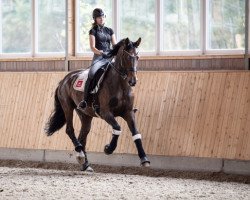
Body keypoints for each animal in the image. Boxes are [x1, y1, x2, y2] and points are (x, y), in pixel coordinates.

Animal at [44, 38, 150, 172]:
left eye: (137, 57)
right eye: (126, 57)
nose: (133, 81)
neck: (120, 85)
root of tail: (64, 80)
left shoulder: (128, 113)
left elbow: (136, 133)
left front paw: (144, 159)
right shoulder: (105, 113)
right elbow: (117, 128)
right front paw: (108, 149)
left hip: (85, 115)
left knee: (83, 136)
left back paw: (85, 163)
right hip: (67, 107)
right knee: (70, 130)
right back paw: (79, 152)